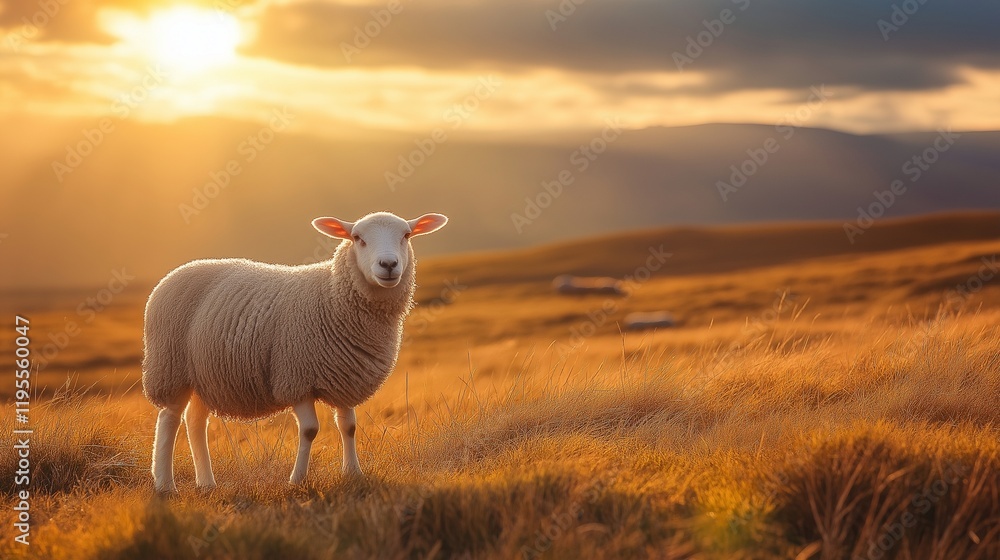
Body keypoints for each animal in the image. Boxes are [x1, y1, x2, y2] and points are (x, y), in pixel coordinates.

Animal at [142, 211, 448, 493]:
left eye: (406, 235)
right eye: (358, 238)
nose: (388, 265)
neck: (332, 296)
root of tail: (176, 272)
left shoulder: (346, 375)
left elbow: (348, 426)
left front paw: (353, 474)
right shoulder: (295, 376)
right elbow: (310, 430)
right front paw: (297, 480)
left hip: (205, 375)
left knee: (195, 421)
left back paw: (206, 483)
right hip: (170, 367)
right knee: (169, 419)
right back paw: (165, 485)